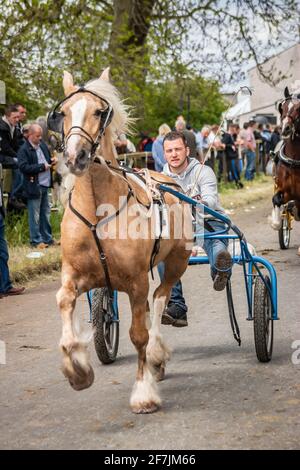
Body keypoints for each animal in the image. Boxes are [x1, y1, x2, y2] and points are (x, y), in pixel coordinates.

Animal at [52, 68, 193, 414]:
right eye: (64, 112)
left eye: (99, 111)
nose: (75, 156)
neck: (97, 209)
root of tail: (166, 178)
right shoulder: (75, 275)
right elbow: (63, 302)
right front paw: (77, 369)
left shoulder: (135, 281)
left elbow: (138, 334)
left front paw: (144, 393)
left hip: (177, 261)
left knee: (160, 297)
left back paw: (156, 354)